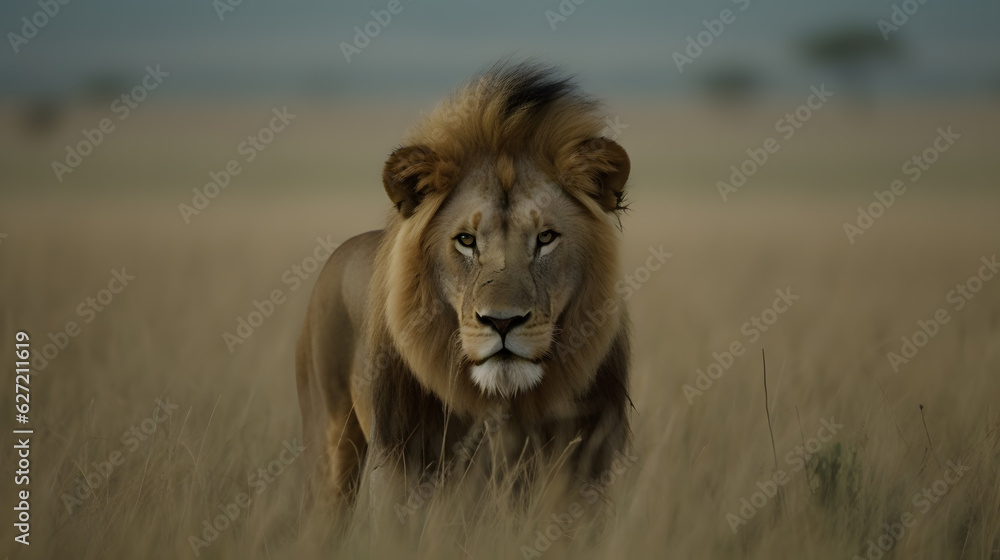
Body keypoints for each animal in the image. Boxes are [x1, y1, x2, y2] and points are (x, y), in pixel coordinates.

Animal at [295, 61, 633, 520]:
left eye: (545, 237)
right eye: (467, 241)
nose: (502, 322)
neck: (507, 409)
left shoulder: (583, 475)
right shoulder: (402, 471)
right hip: (330, 447)